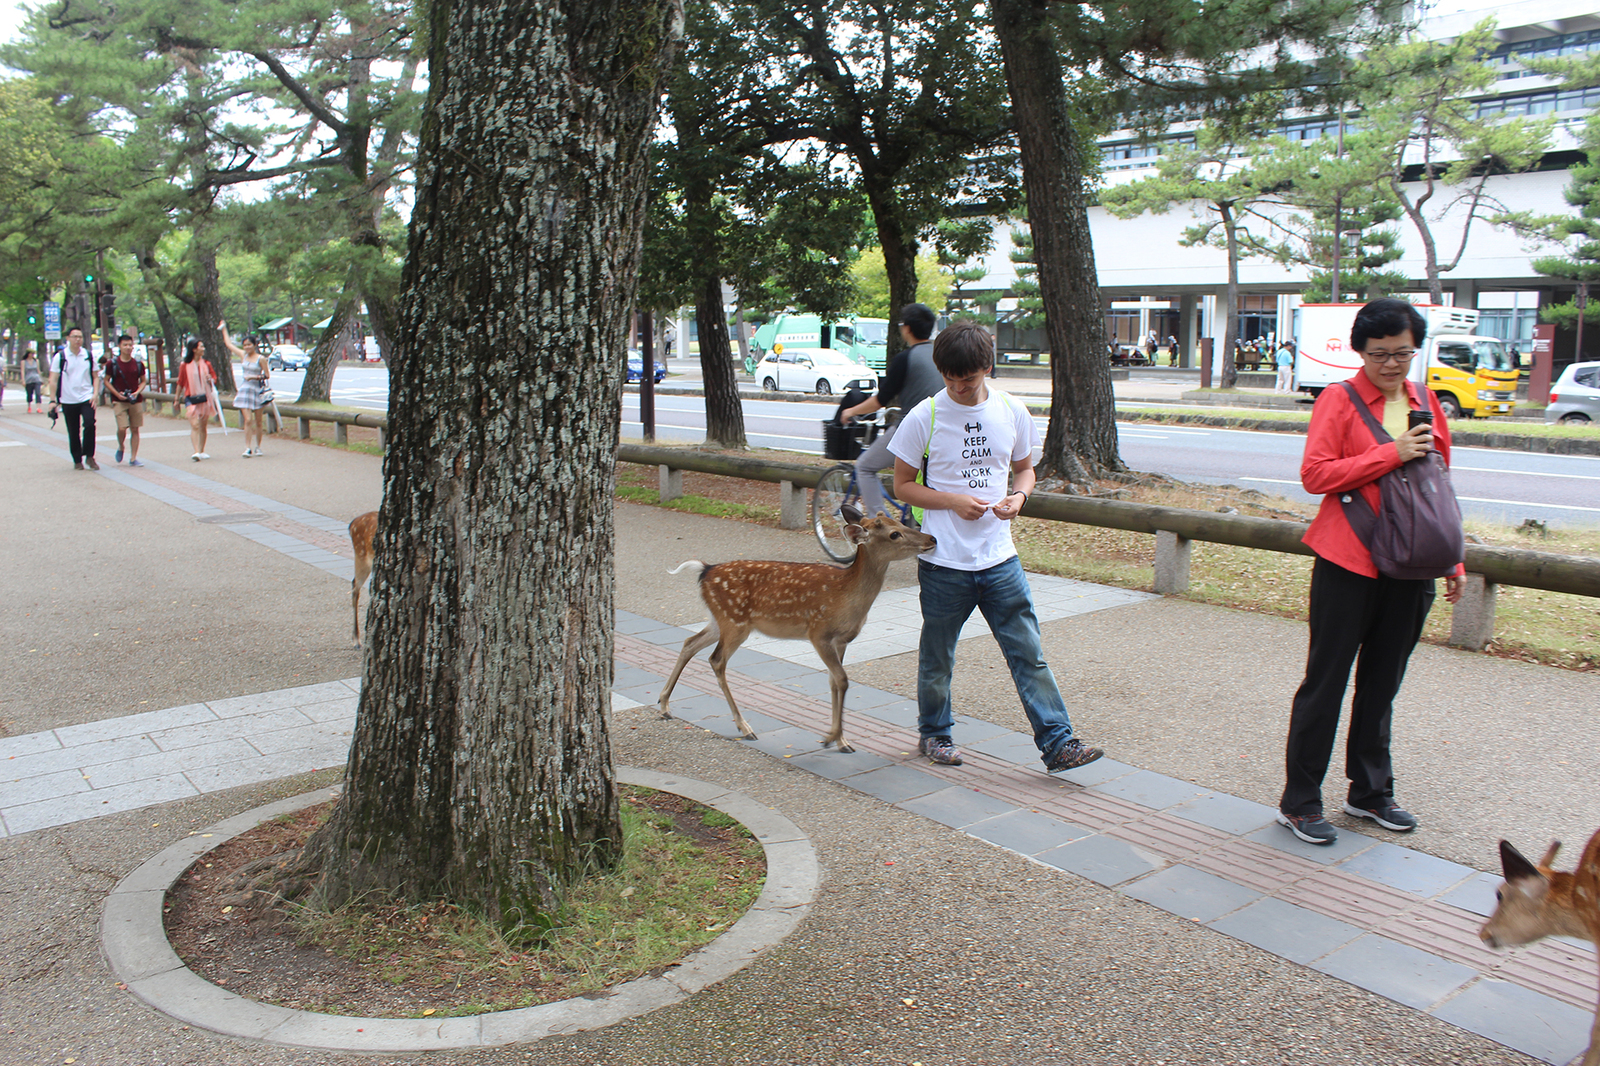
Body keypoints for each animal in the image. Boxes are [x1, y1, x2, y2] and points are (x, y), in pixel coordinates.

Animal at [652, 512, 934, 752]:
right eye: (894, 534)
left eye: (900, 521)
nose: (932, 539)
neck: (846, 597)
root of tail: (705, 570)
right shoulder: (818, 632)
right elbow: (843, 680)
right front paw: (831, 737)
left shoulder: (842, 641)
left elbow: (834, 681)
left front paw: (842, 741)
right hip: (734, 622)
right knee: (716, 659)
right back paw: (745, 727)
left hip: (718, 619)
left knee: (689, 642)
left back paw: (664, 705)